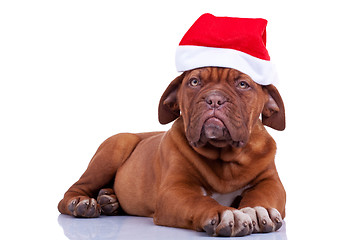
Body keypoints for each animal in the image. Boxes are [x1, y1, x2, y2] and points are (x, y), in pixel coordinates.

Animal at [58, 67, 286, 236]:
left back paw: (109, 200)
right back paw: (82, 203)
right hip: (116, 146)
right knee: (72, 192)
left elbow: (262, 194)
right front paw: (225, 213)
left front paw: (257, 210)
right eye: (194, 82)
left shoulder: (271, 182)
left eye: (243, 84)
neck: (223, 155)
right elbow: (200, 199)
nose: (214, 99)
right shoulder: (175, 190)